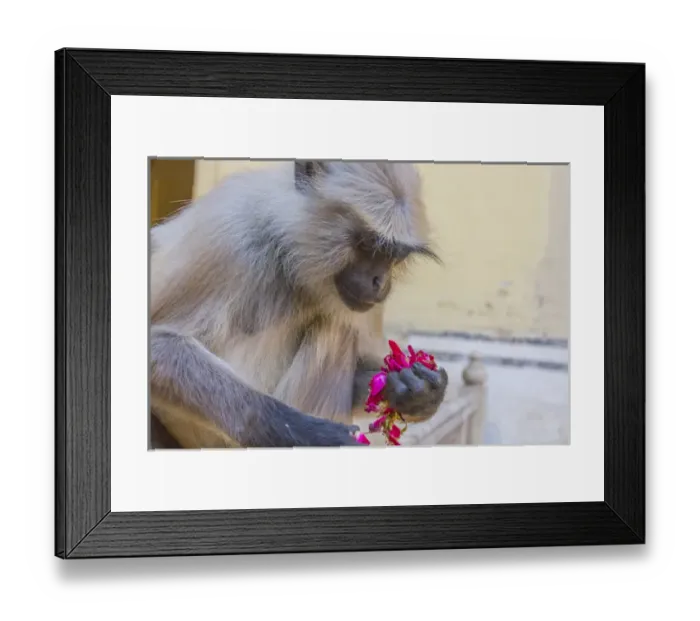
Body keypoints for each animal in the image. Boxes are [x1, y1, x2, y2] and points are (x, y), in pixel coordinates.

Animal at [148, 159, 449, 449]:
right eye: (368, 246)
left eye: (394, 256)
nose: (380, 281)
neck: (290, 251)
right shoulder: (230, 238)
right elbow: (159, 346)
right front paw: (309, 434)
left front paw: (414, 392)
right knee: (336, 329)